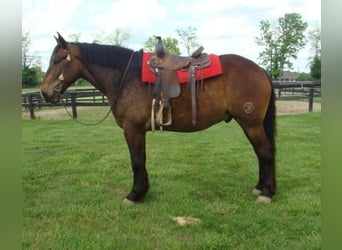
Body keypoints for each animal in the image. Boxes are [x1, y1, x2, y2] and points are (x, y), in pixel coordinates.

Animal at [40, 33, 276, 204]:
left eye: (58, 60)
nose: (44, 92)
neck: (126, 77)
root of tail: (260, 69)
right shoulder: (137, 131)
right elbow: (141, 159)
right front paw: (143, 192)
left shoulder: (132, 129)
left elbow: (136, 161)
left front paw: (134, 195)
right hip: (249, 124)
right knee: (260, 152)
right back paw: (260, 188)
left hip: (251, 123)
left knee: (265, 151)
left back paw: (267, 193)